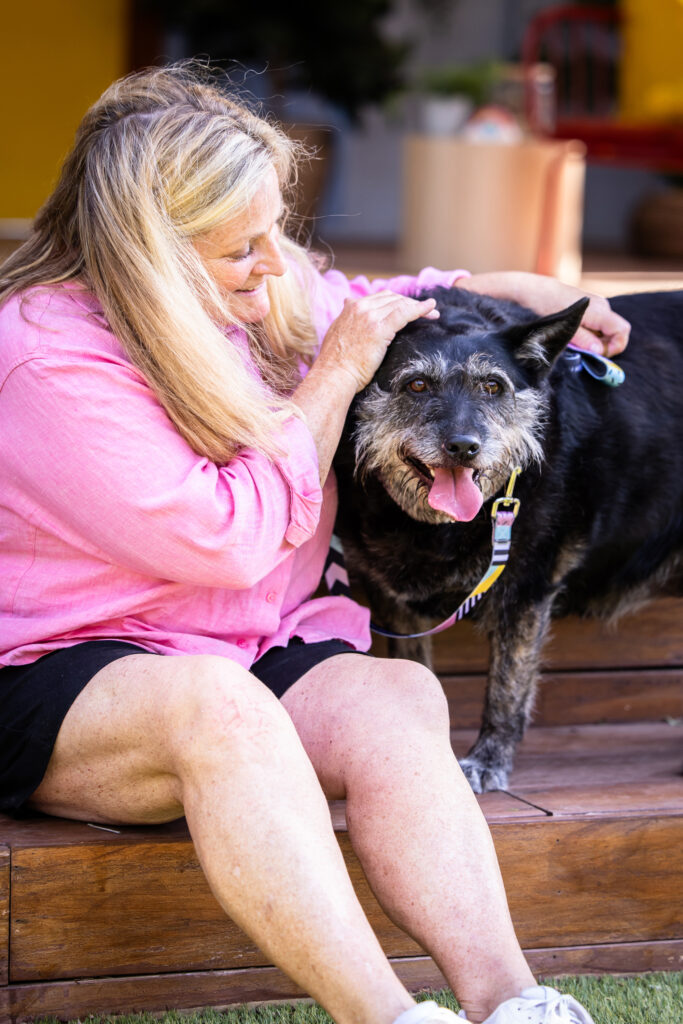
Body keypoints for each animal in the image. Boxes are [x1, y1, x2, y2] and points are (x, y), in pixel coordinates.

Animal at [333, 288, 683, 790]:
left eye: (493, 387)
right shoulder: (395, 604)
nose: (464, 447)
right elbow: (416, 673)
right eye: (416, 385)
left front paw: (488, 761)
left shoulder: (526, 592)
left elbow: (507, 686)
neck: (436, 527)